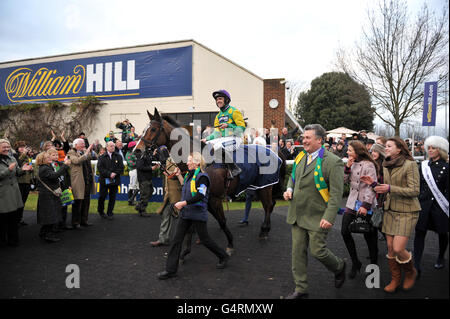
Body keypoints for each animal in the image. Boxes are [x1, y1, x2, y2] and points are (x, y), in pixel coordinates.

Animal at [135, 109, 286, 255]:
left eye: (153, 129)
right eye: (143, 129)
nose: (137, 150)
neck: (201, 161)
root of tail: (274, 151)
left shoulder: (214, 198)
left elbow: (222, 221)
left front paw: (230, 245)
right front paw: (187, 249)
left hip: (264, 186)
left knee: (268, 205)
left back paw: (264, 230)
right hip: (259, 186)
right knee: (271, 204)